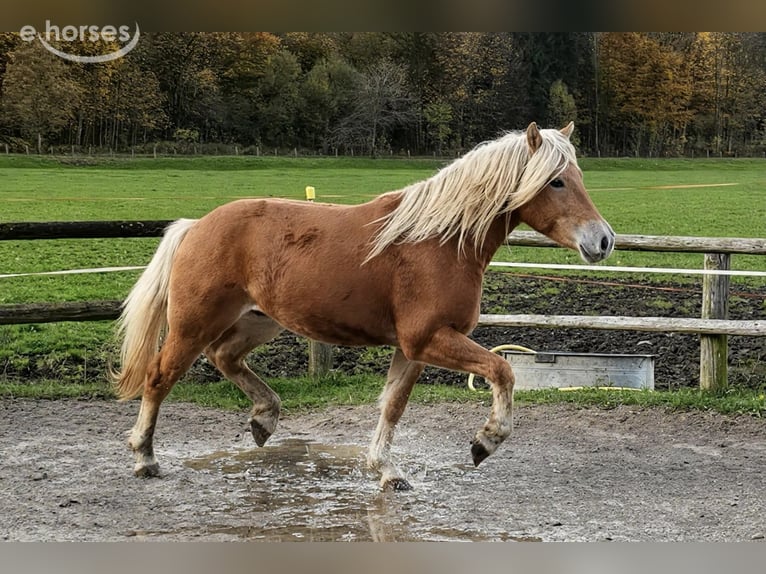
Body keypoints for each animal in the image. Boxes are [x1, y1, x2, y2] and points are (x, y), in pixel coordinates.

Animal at [111, 121, 614, 491]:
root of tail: (196, 226)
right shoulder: (430, 339)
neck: (439, 241)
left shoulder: (413, 349)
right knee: (159, 377)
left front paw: (386, 470)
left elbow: (392, 406)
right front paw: (485, 442)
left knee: (225, 357)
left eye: (580, 178)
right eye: (556, 181)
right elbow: (503, 370)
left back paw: (265, 418)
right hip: (194, 325)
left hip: (260, 321)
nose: (603, 240)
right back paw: (145, 458)